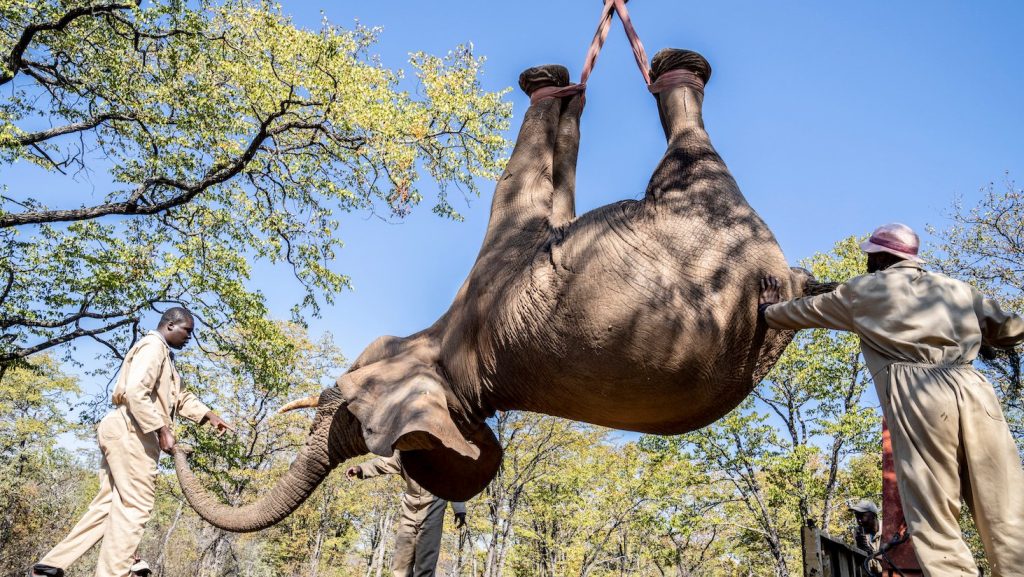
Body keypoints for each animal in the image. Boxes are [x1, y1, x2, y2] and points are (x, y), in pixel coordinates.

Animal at [174, 48, 815, 532]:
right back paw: (672, 71)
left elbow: (516, 185)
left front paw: (549, 84)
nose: (182, 438)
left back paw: (673, 69)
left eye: (341, 406)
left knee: (688, 150)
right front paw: (566, 90)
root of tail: (777, 291)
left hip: (697, 212)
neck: (448, 368)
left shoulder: (492, 272)